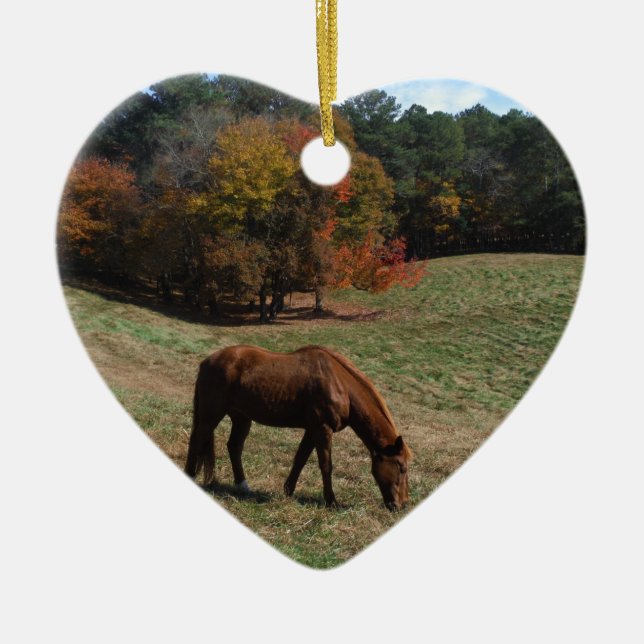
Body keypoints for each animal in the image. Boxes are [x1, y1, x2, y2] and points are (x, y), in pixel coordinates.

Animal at [184, 345, 412, 510]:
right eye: (401, 467)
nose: (401, 505)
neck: (340, 385)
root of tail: (207, 361)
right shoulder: (322, 429)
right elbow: (326, 465)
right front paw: (331, 501)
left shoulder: (312, 430)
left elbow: (300, 460)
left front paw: (288, 491)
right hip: (212, 414)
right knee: (197, 440)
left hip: (241, 418)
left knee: (234, 446)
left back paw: (243, 486)